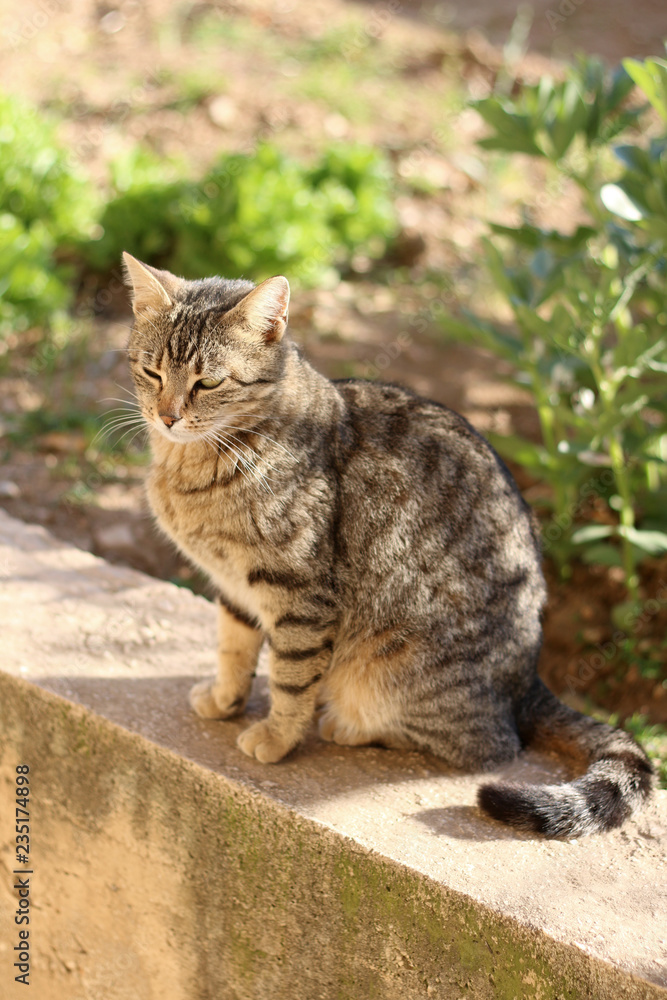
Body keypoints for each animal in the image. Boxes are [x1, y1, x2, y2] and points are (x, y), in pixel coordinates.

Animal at [120, 252, 652, 836]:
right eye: (152, 371)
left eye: (209, 382)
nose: (167, 416)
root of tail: (528, 679)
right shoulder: (233, 584)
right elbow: (234, 650)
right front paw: (224, 698)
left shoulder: (300, 596)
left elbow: (290, 677)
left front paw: (277, 736)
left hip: (398, 667)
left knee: (489, 745)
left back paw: (349, 725)